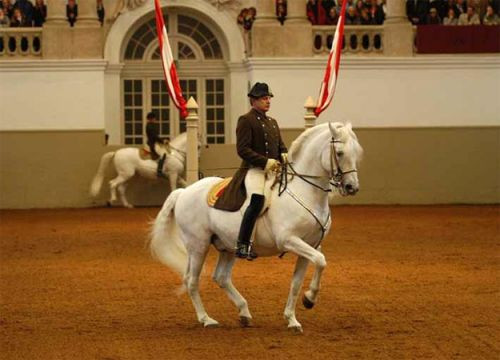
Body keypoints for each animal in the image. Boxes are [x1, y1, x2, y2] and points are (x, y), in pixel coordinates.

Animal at [148, 123, 364, 332]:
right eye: (339, 153)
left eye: (356, 152)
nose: (352, 187)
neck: (305, 191)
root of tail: (183, 192)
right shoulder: (289, 240)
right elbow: (320, 261)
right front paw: (309, 300)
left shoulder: (310, 245)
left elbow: (300, 279)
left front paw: (294, 318)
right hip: (197, 245)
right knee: (191, 280)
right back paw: (207, 320)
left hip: (227, 245)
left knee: (221, 277)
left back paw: (244, 313)